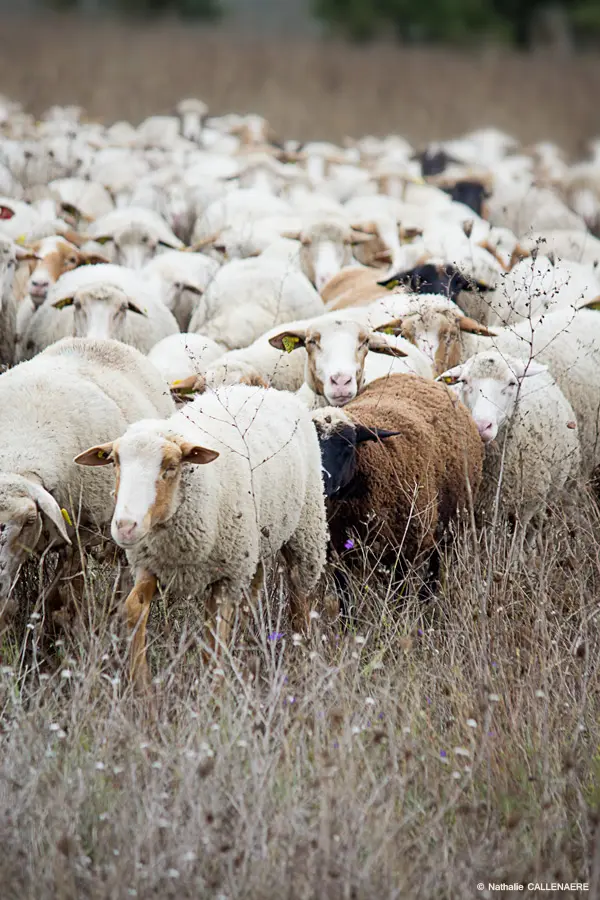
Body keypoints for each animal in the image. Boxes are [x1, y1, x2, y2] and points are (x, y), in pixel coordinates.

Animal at [76, 386, 328, 688]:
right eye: (114, 462)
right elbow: (134, 609)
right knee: (253, 591)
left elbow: (214, 641)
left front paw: (215, 690)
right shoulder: (150, 565)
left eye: (171, 466)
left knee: (299, 594)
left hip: (307, 531)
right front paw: (142, 686)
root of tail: (264, 389)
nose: (126, 526)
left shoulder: (226, 579)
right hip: (254, 547)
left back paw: (303, 655)